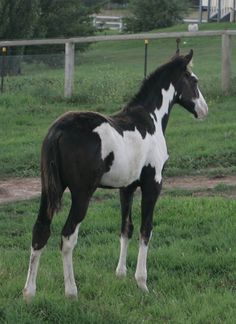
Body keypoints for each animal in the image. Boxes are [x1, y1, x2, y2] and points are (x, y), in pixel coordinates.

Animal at [23, 49, 208, 300]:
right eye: (194, 80)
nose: (204, 110)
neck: (150, 119)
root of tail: (58, 131)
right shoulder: (153, 183)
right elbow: (145, 229)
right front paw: (142, 283)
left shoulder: (127, 187)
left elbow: (125, 228)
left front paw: (120, 274)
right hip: (81, 194)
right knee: (68, 237)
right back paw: (71, 291)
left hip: (50, 189)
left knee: (40, 231)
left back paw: (29, 292)